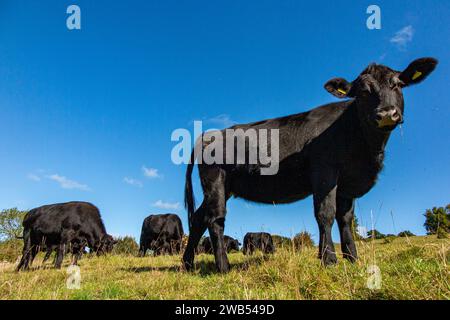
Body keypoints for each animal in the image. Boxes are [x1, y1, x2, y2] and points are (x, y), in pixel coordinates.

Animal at [182, 57, 436, 272]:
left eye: (398, 85)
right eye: (363, 92)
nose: (386, 113)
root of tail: (209, 134)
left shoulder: (347, 183)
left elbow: (345, 219)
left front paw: (352, 259)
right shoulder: (325, 172)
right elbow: (325, 213)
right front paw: (329, 260)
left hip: (225, 187)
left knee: (198, 218)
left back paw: (188, 264)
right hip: (216, 180)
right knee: (215, 220)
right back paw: (223, 267)